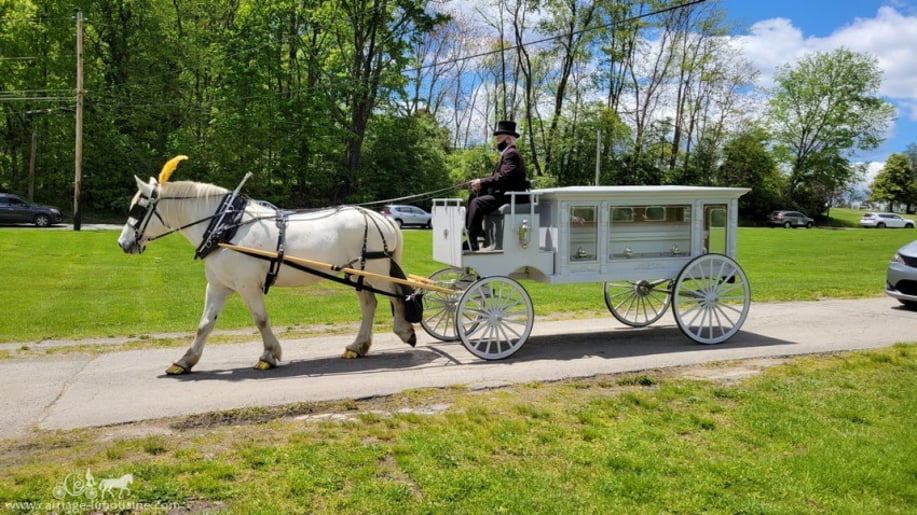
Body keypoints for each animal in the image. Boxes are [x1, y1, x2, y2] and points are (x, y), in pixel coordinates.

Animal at [117, 156, 417, 375]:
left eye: (137, 210)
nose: (123, 243)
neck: (225, 227)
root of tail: (381, 218)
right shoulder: (218, 286)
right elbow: (205, 324)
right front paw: (185, 360)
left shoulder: (248, 285)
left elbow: (260, 319)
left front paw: (269, 354)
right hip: (359, 275)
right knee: (369, 305)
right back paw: (358, 346)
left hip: (377, 272)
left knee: (398, 296)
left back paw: (404, 331)